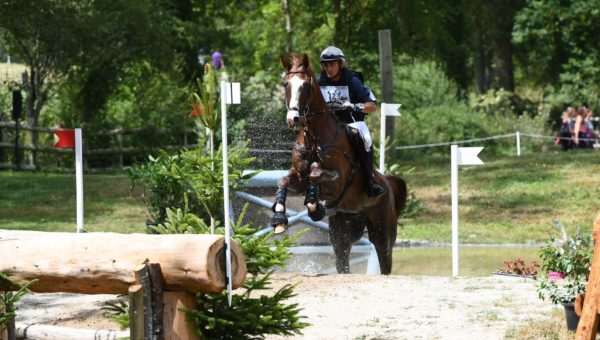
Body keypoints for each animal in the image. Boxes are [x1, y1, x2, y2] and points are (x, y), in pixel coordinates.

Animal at [270, 53, 408, 276]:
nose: (293, 119)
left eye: (306, 86)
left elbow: (316, 173)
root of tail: (387, 182)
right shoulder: (298, 179)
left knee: (384, 255)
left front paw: (315, 208)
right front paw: (279, 218)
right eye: (286, 84)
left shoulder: (337, 181)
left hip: (382, 228)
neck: (314, 139)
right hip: (344, 228)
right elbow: (283, 180)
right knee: (342, 254)